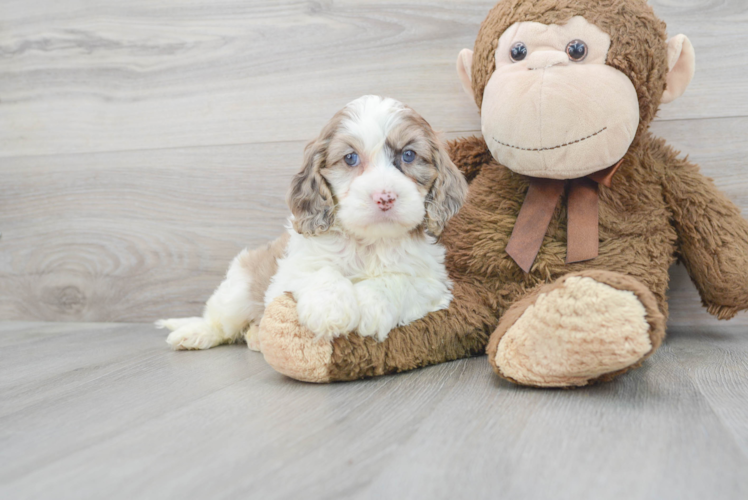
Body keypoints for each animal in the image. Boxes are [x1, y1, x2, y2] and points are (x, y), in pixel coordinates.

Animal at [156, 94, 468, 352]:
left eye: (408, 155)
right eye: (350, 158)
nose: (385, 197)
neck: (368, 243)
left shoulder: (432, 284)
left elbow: (397, 281)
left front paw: (370, 305)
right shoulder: (289, 271)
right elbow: (320, 271)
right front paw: (330, 309)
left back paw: (255, 337)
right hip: (239, 288)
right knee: (221, 322)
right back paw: (194, 333)